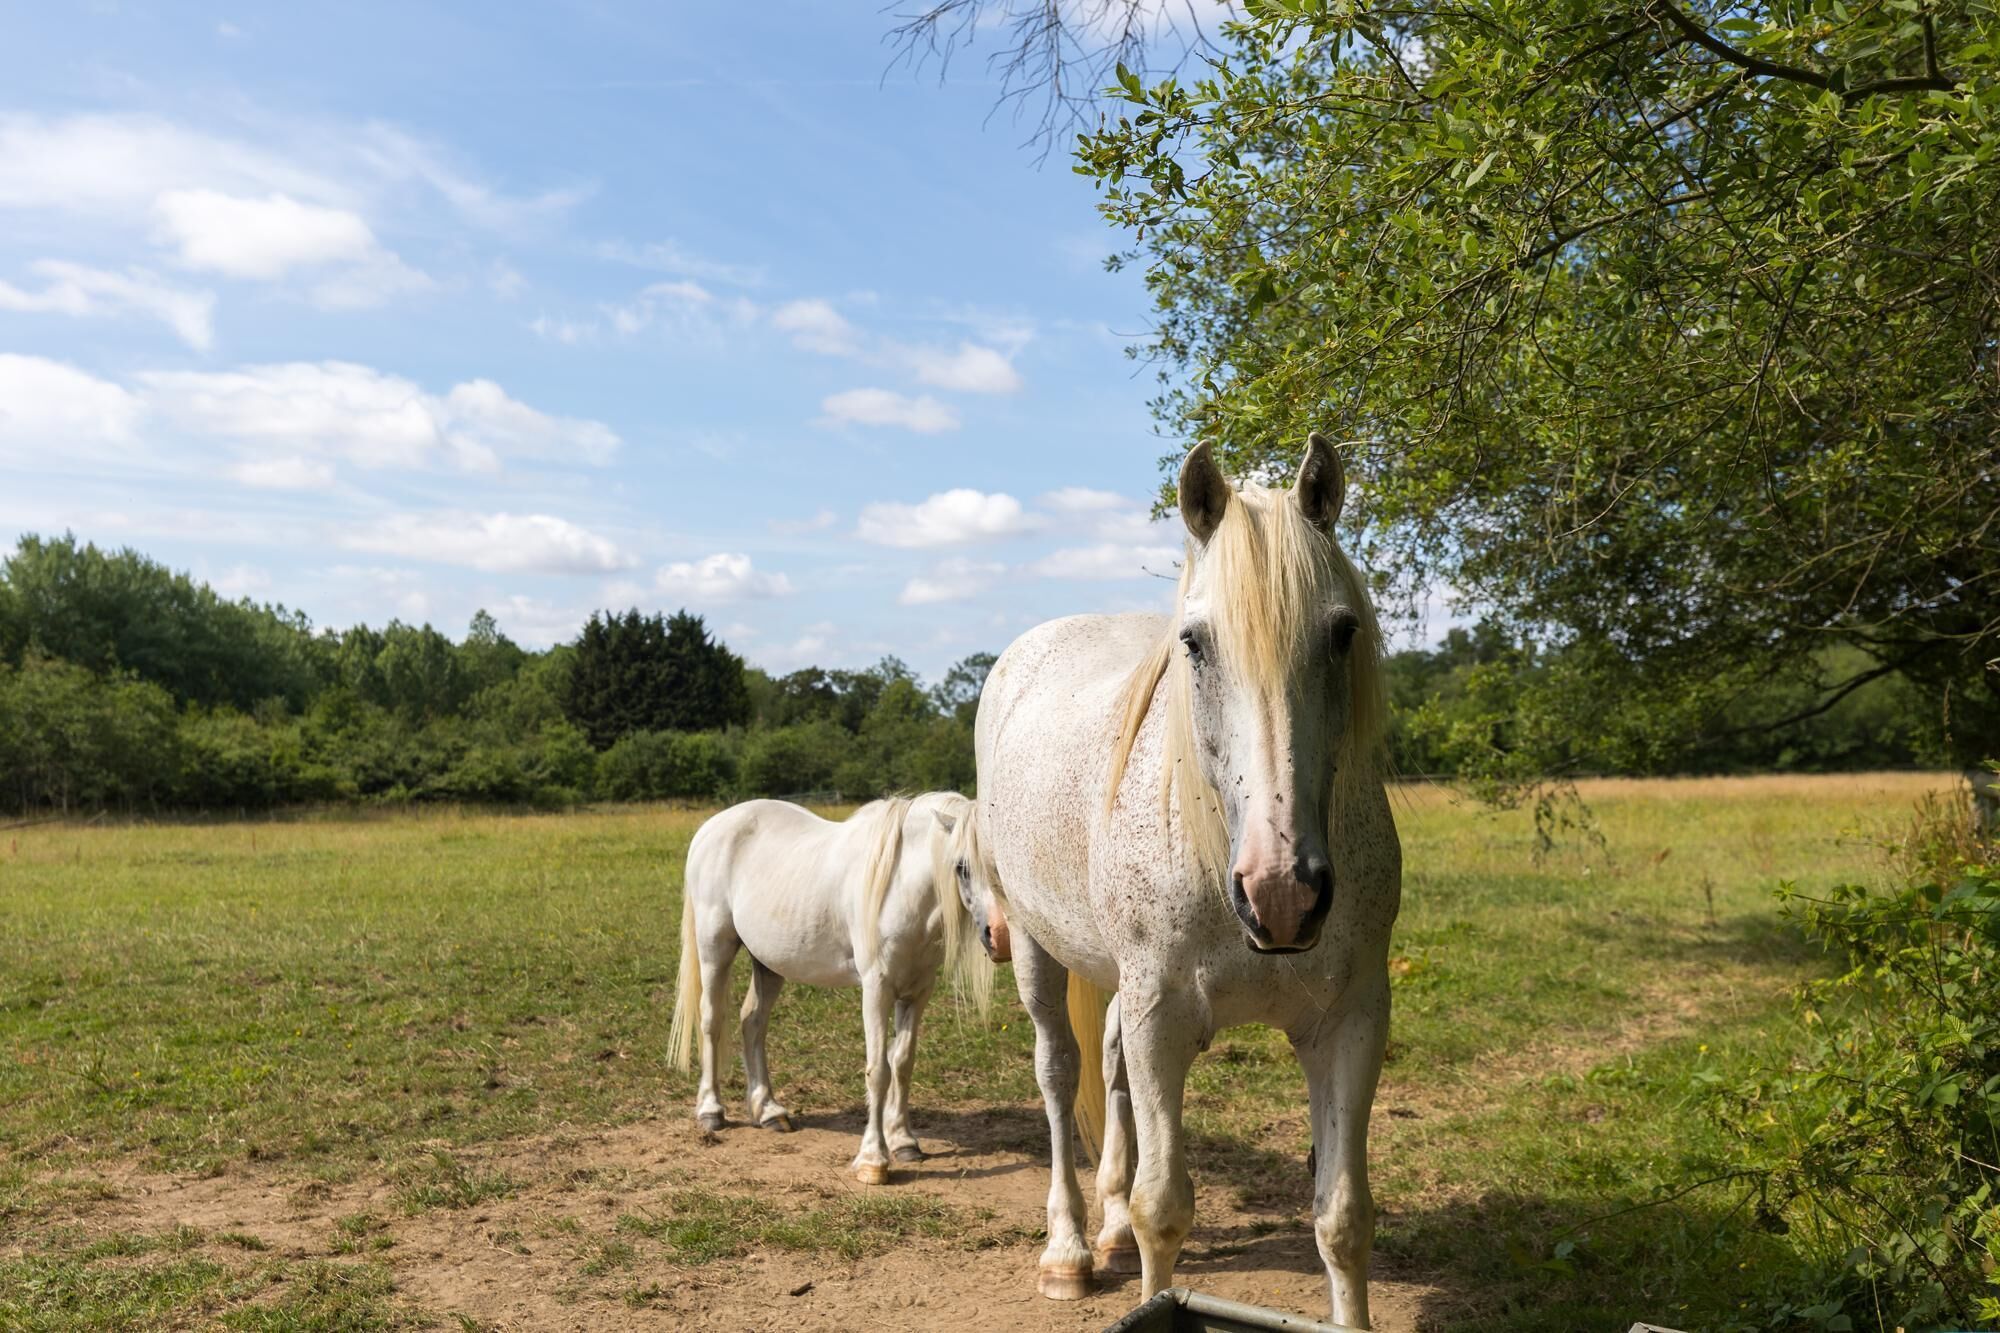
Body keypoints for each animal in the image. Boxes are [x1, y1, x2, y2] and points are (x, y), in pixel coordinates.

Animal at [667, 792, 1009, 1184]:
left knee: (752, 1023)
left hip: (768, 963)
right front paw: (873, 1161)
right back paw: (711, 1111)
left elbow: (902, 1063)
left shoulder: (917, 992)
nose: (1000, 937)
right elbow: (878, 1070)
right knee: (712, 1021)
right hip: (714, 948)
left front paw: (904, 1141)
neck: (900, 887)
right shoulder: (877, 989)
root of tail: (711, 827)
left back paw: (769, 1112)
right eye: (962, 866)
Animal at [974, 434, 1400, 1327]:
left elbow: (1343, 1219)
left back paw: (1101, 1232)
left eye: (1342, 632)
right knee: (1058, 1074)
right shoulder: (1161, 1016)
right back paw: (1068, 1249)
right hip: (1034, 947)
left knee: (1106, 1070)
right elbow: (1163, 1207)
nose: (1281, 894)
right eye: (1195, 642)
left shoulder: (1350, 1021)